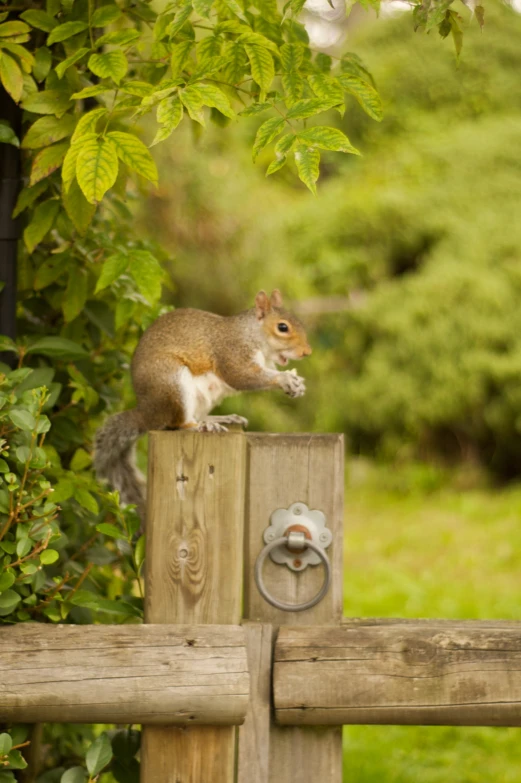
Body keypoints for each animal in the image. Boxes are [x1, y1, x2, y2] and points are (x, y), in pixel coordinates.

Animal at [93, 290, 310, 528]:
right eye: (283, 327)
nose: (306, 352)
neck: (251, 334)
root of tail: (147, 412)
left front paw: (296, 383)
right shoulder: (233, 353)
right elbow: (242, 376)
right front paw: (284, 379)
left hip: (204, 398)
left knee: (198, 415)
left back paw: (220, 419)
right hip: (173, 384)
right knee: (179, 423)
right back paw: (200, 427)